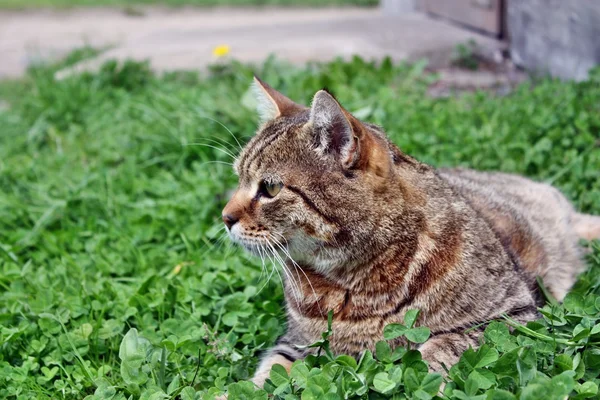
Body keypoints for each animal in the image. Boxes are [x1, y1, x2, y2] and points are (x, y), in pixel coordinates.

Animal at [221, 76, 600, 390]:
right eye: (238, 178)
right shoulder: (294, 344)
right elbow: (267, 373)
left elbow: (442, 345)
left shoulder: (516, 314)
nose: (224, 217)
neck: (353, 283)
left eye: (270, 188)